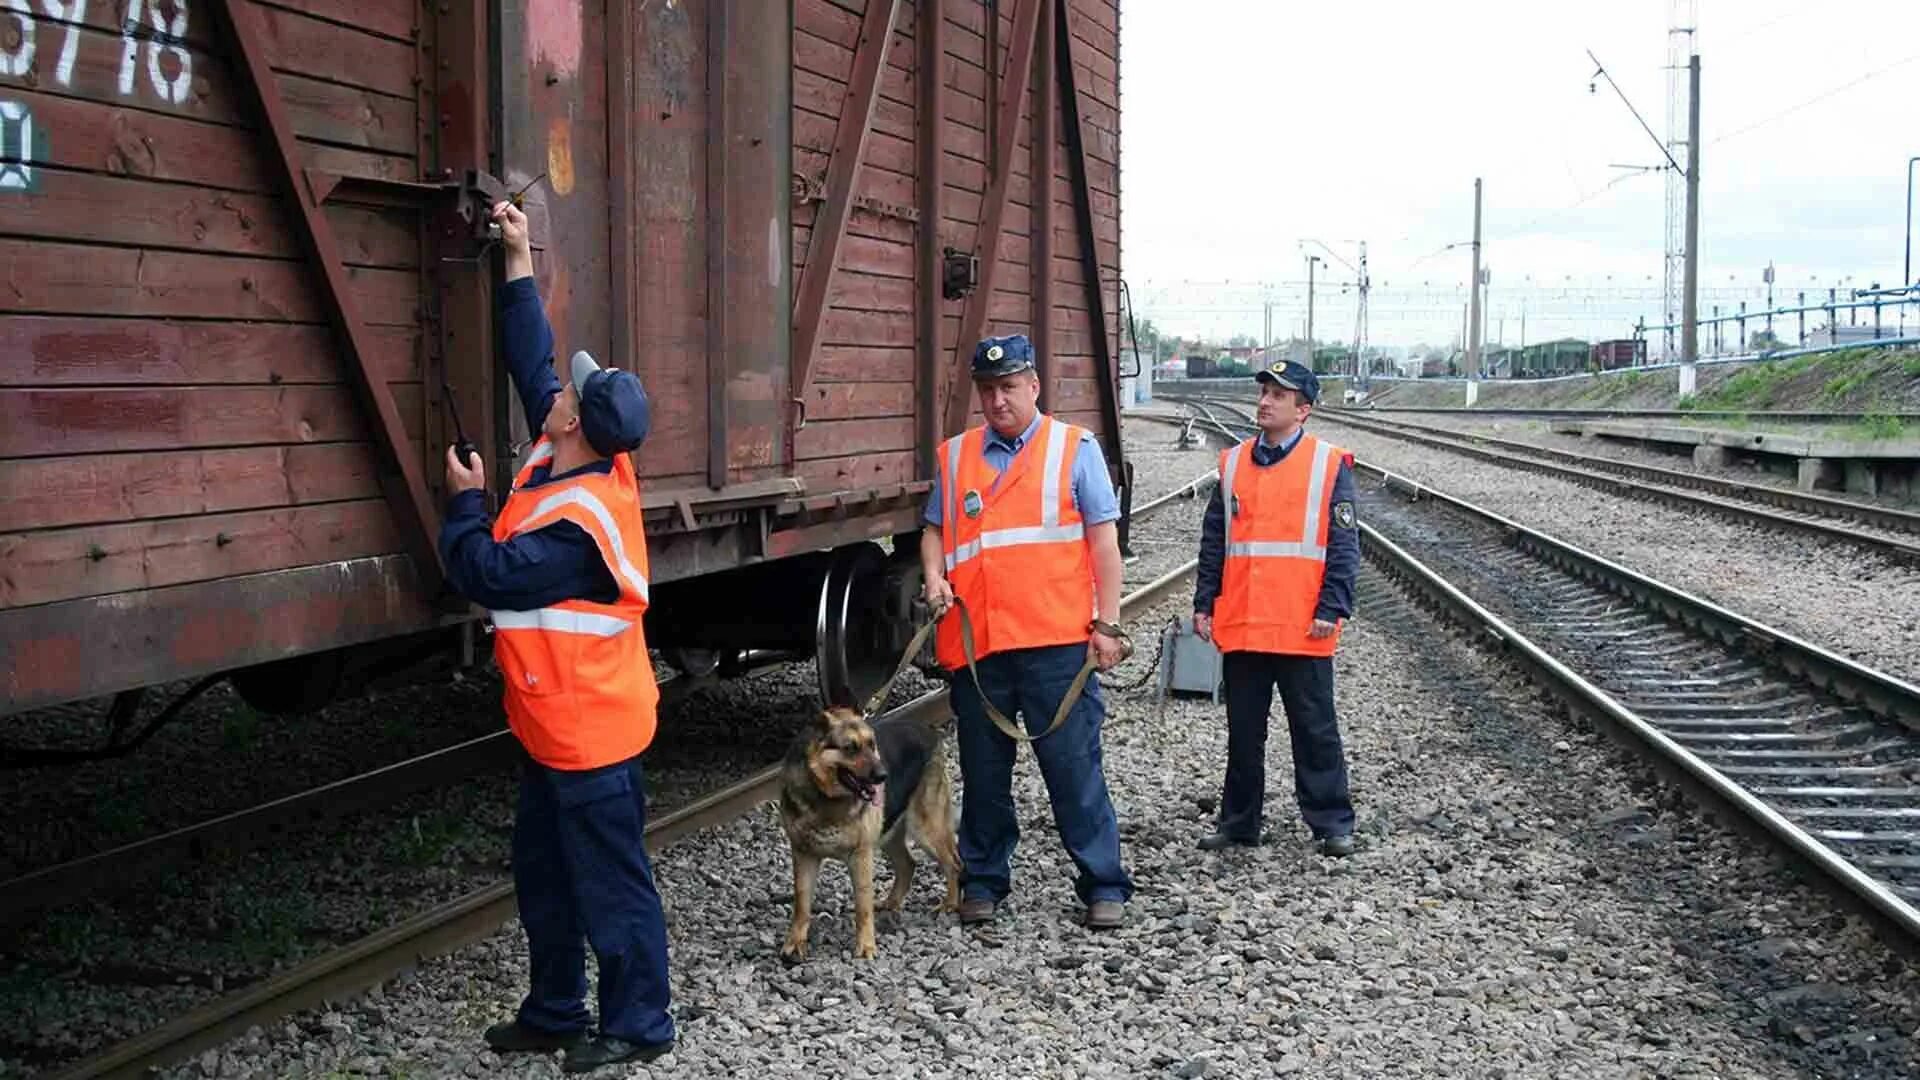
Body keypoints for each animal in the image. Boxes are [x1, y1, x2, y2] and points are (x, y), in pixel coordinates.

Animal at [775, 707, 960, 957]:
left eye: (872, 745)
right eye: (850, 748)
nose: (883, 776)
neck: (827, 797)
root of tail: (927, 730)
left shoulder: (860, 856)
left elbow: (863, 906)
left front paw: (866, 946)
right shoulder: (804, 855)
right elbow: (802, 903)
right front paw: (795, 942)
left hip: (925, 829)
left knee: (954, 863)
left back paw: (950, 903)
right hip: (888, 832)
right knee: (908, 864)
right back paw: (892, 902)